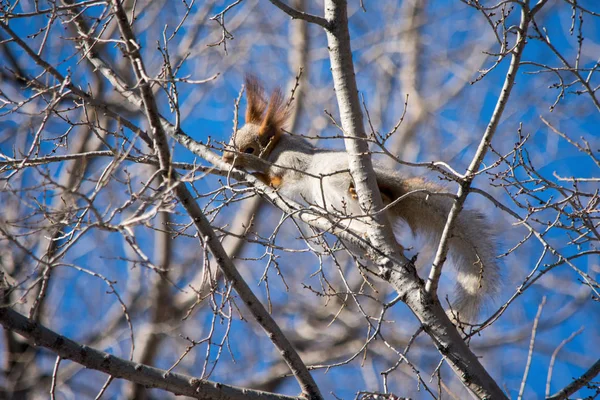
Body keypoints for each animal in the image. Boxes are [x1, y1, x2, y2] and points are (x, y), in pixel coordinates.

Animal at [223, 76, 500, 322]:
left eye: (249, 149)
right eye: (229, 140)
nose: (226, 158)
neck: (275, 150)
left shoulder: (292, 161)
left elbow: (284, 177)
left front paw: (264, 178)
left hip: (341, 177)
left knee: (382, 192)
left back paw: (362, 192)